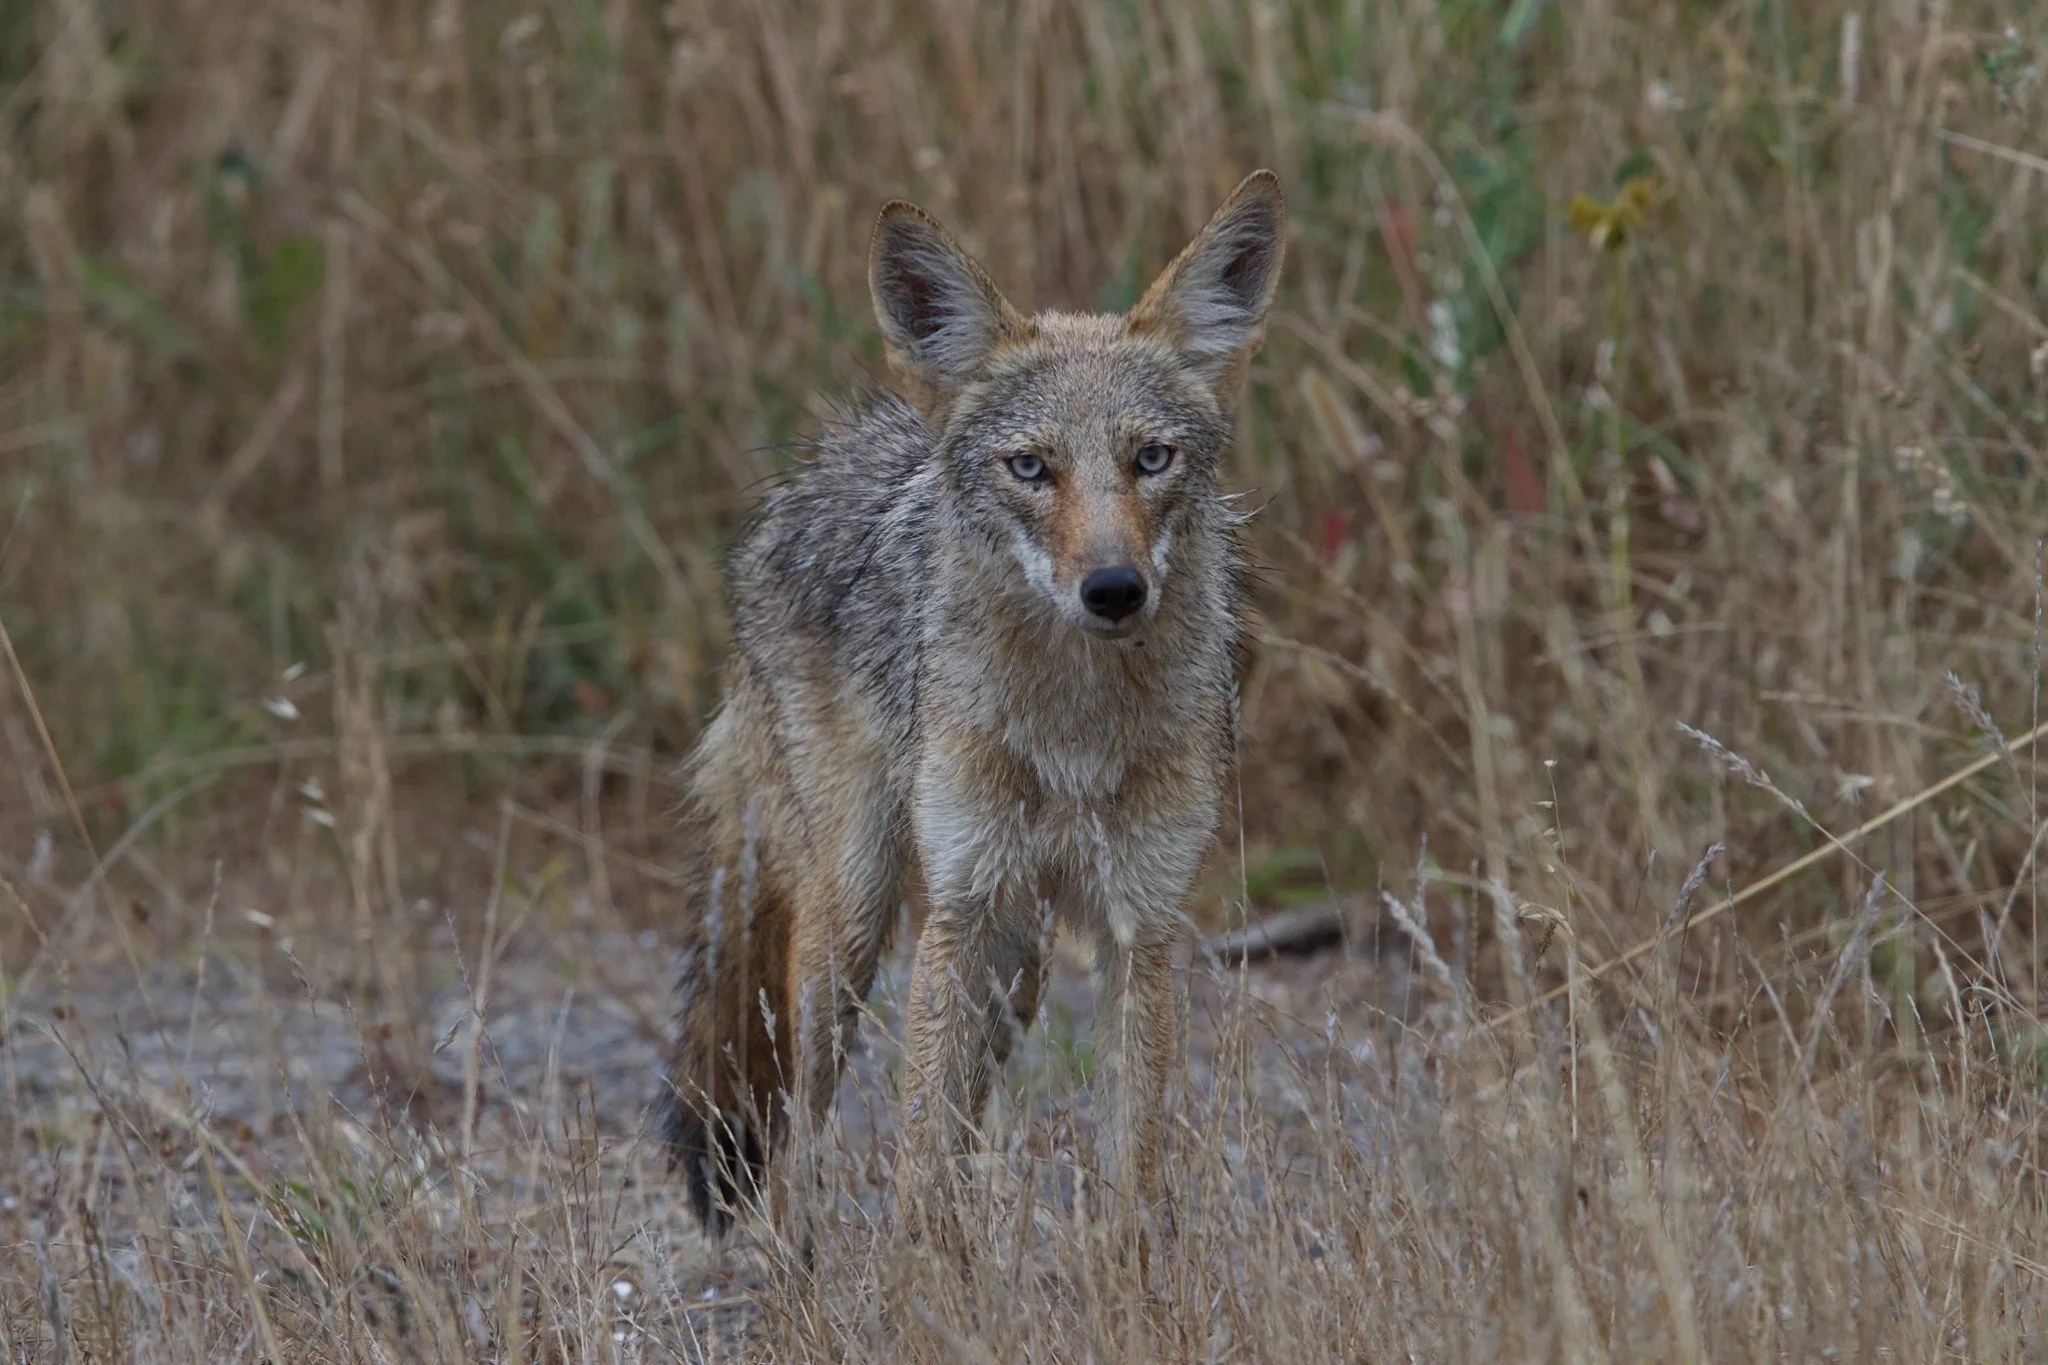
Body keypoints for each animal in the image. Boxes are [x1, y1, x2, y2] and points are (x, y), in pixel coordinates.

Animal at [660, 170, 1285, 1240]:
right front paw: (918, 1278)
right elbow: (914, 1163)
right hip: (857, 922)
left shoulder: (1140, 927)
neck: (1074, 723)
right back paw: (799, 1263)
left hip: (1019, 955)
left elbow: (1129, 1180)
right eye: (1031, 467)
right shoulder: (956, 910)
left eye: (1151, 459)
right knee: (799, 1130)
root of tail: (824, 464)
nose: (1113, 589)